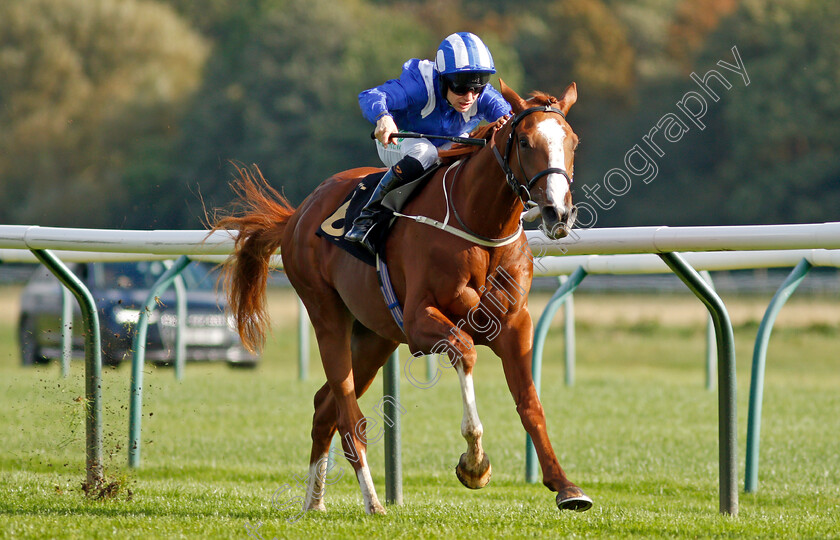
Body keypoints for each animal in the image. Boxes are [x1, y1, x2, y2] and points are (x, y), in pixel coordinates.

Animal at [212, 80, 592, 516]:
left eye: (572, 141)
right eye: (526, 142)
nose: (557, 213)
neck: (478, 225)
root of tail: (297, 214)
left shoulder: (516, 325)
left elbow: (531, 403)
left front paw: (565, 486)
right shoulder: (419, 322)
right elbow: (466, 351)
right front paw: (474, 464)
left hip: (373, 338)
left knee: (324, 407)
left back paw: (314, 502)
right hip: (327, 315)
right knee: (349, 416)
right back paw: (373, 501)